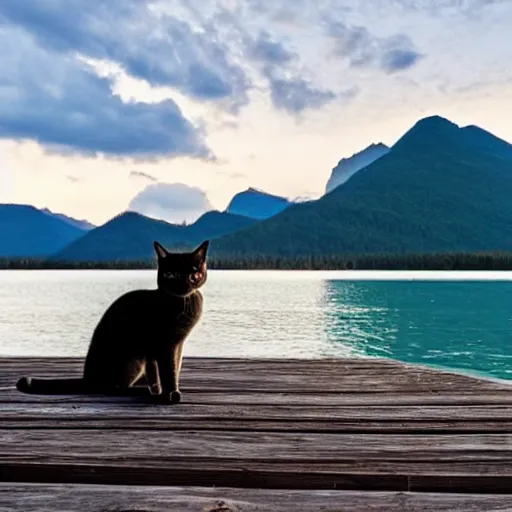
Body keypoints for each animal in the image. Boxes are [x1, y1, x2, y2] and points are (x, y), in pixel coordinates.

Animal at [16, 240, 208, 404]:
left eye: (194, 274)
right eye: (171, 274)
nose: (183, 285)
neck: (183, 303)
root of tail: (88, 378)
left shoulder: (177, 344)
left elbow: (173, 367)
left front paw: (163, 388)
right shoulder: (164, 344)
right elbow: (168, 370)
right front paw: (170, 393)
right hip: (132, 359)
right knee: (113, 388)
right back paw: (143, 390)